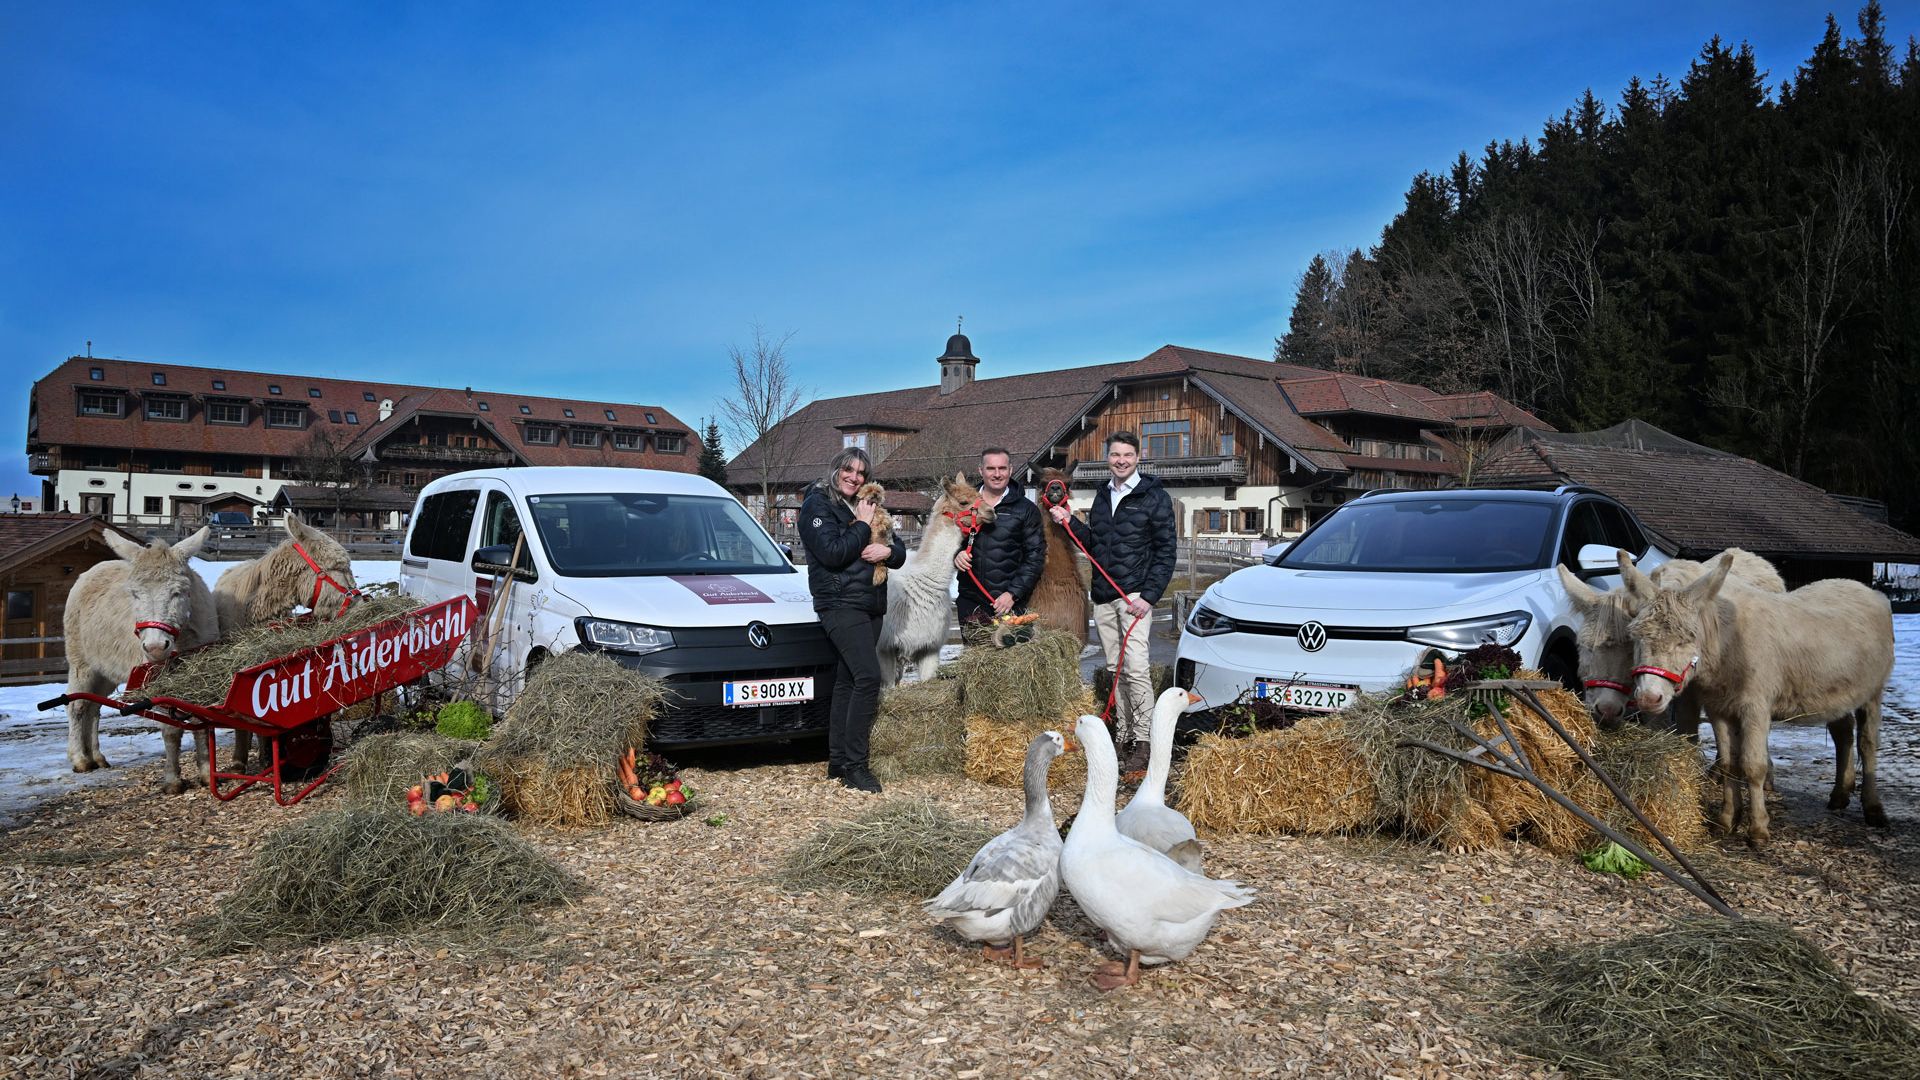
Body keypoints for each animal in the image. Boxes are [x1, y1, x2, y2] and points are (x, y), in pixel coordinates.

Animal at [62, 527, 220, 793]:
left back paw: (96, 757)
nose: (155, 647)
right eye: (135, 594)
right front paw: (172, 780)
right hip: (81, 662)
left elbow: (201, 721)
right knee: (77, 706)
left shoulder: (201, 674)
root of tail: (92, 570)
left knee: (94, 707)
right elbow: (171, 730)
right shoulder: (157, 683)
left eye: (177, 592)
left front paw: (207, 774)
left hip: (106, 671)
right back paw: (80, 759)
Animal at [877, 472, 996, 685]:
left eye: (979, 494)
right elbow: (888, 686)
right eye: (963, 501)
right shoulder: (885, 646)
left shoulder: (929, 647)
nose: (992, 511)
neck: (923, 583)